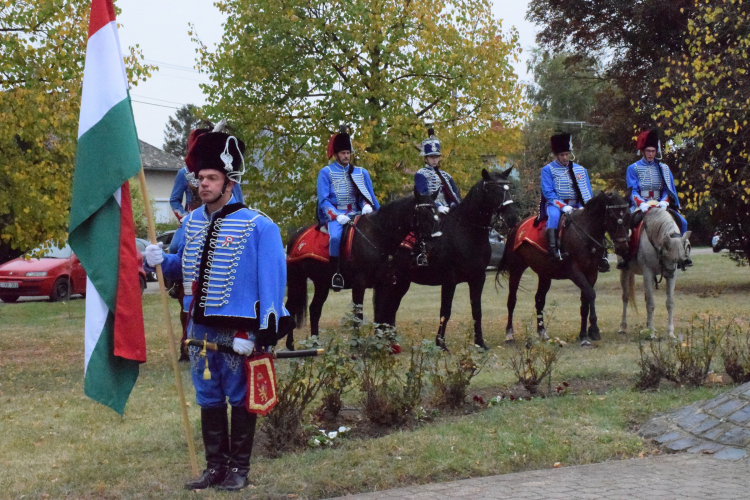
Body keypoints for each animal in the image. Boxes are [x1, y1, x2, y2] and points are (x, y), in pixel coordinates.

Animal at [286, 189, 440, 350]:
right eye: (423, 213)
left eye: (437, 213)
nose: (434, 246)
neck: (377, 237)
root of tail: (296, 236)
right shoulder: (359, 284)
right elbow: (358, 315)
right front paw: (356, 346)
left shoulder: (383, 284)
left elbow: (381, 314)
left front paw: (380, 346)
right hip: (296, 280)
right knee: (290, 309)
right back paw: (290, 346)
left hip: (321, 283)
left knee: (315, 309)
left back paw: (315, 343)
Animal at [372, 167, 516, 348]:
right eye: (494, 190)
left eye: (508, 188)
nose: (512, 218)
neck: (467, 232)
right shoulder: (449, 280)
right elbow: (445, 311)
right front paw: (440, 344)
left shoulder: (478, 278)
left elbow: (477, 311)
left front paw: (480, 343)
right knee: (384, 306)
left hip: (401, 281)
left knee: (389, 306)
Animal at [500, 192, 636, 348]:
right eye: (613, 217)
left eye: (628, 217)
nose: (623, 249)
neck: (586, 232)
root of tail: (516, 227)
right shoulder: (575, 272)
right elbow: (591, 294)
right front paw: (594, 329)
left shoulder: (591, 273)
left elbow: (585, 301)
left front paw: (583, 335)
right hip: (516, 269)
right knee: (512, 300)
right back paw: (509, 335)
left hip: (545, 274)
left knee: (539, 300)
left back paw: (542, 333)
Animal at [624, 205, 692, 338]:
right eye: (664, 254)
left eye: (679, 260)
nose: (668, 274)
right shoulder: (647, 273)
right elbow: (651, 303)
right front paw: (651, 333)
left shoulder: (672, 276)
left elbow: (669, 303)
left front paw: (670, 333)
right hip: (626, 271)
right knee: (626, 297)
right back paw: (622, 327)